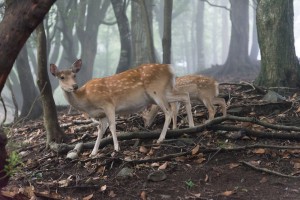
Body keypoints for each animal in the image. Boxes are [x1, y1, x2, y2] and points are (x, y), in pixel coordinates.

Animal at [49, 59, 195, 156]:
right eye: (62, 77)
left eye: (74, 75)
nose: (74, 86)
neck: (87, 101)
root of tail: (171, 69)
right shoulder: (101, 114)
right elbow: (100, 130)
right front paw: (93, 152)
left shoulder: (108, 104)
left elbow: (112, 127)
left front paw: (116, 148)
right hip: (165, 92)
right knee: (184, 95)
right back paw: (191, 126)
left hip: (156, 91)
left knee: (168, 111)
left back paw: (161, 138)